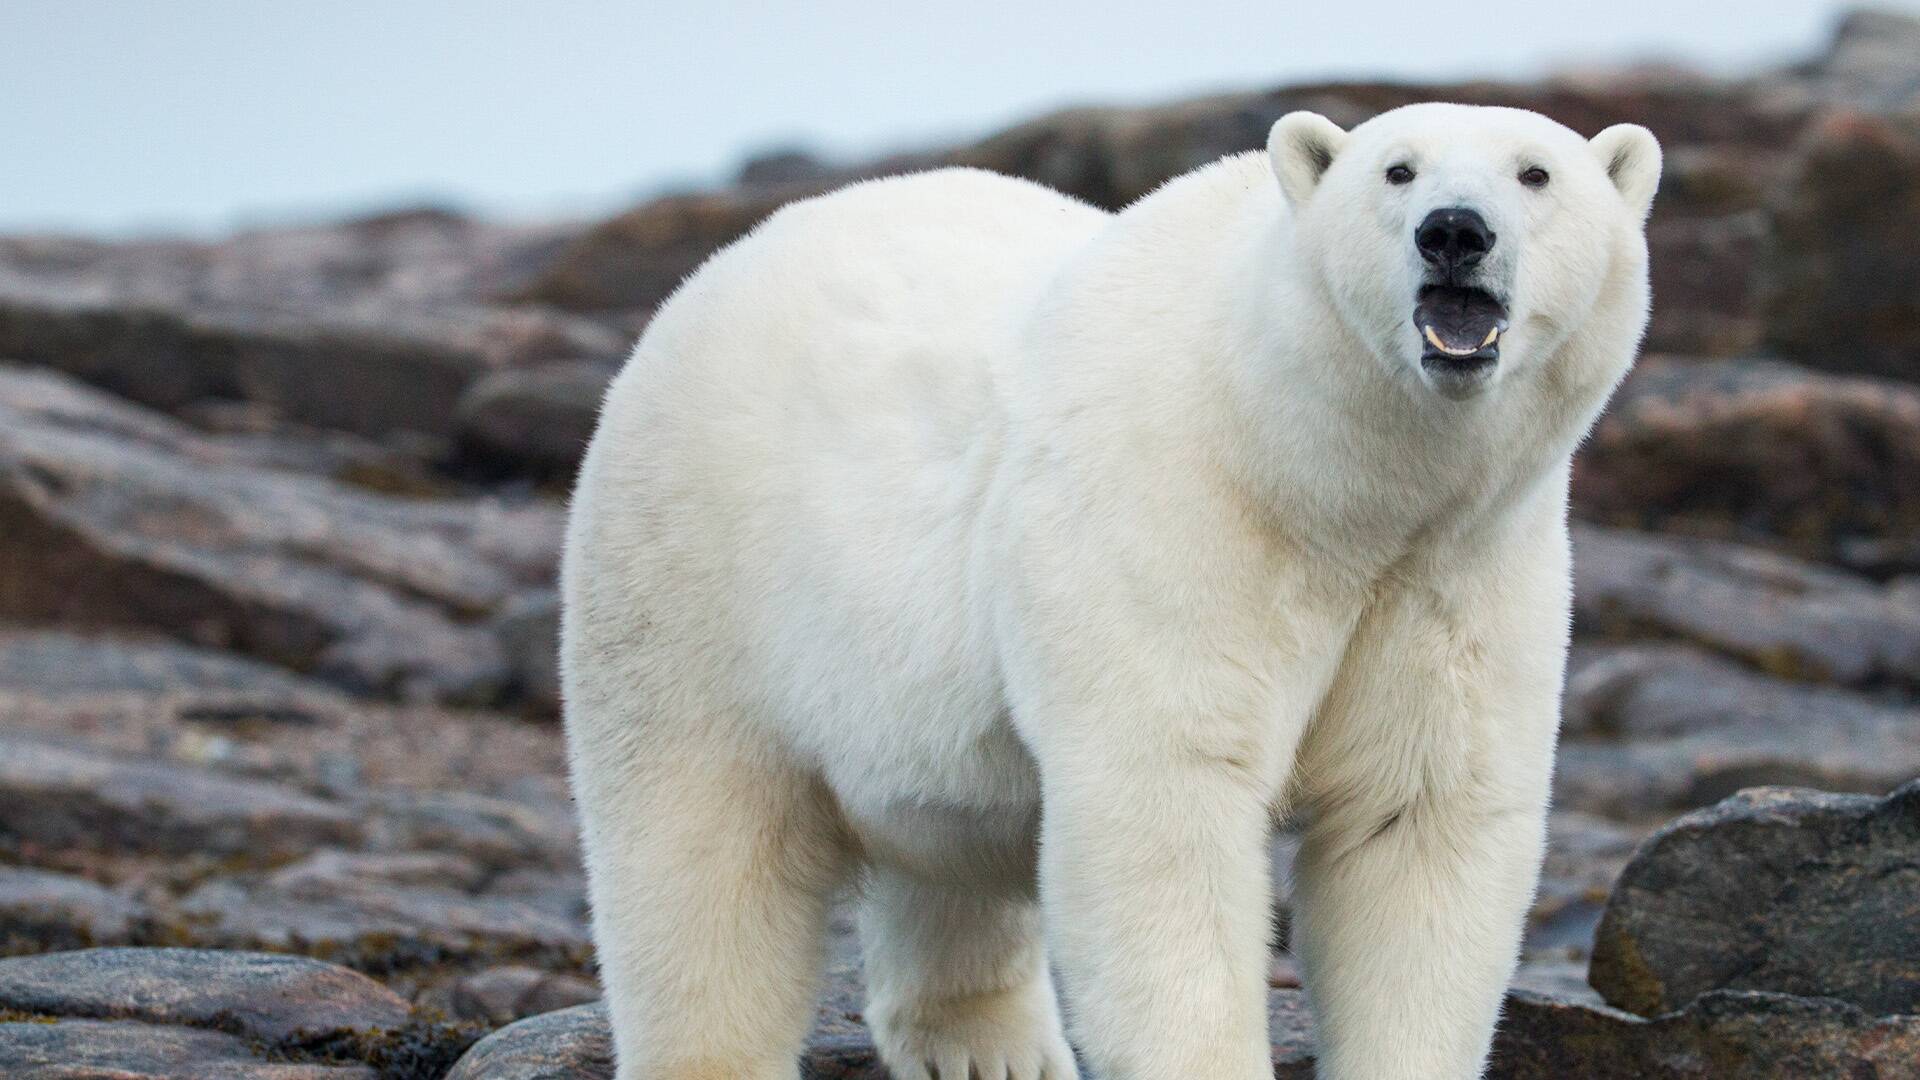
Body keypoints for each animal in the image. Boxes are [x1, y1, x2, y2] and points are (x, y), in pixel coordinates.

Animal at [560, 102, 1666, 1076]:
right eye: (1396, 170)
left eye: (1537, 173)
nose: (1455, 232)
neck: (1317, 472)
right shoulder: (1175, 523)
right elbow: (1163, 810)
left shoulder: (1460, 570)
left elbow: (1417, 822)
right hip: (690, 579)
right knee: (698, 853)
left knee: (943, 847)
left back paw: (989, 1051)